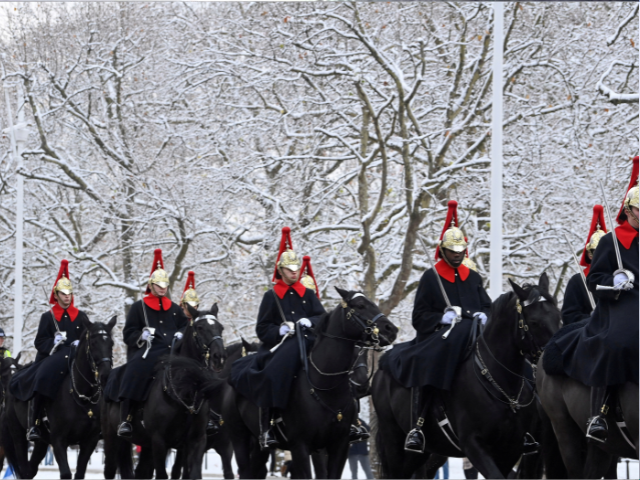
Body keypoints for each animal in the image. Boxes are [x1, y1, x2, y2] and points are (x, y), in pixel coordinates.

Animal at [4, 316, 116, 478]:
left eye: (111, 343)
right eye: (93, 343)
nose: (105, 375)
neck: (82, 396)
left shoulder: (90, 440)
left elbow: (79, 473)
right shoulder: (58, 440)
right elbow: (66, 473)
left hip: (42, 441)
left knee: (31, 470)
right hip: (18, 435)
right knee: (24, 469)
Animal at [102, 306, 228, 478]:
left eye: (221, 327)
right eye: (200, 328)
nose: (219, 357)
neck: (185, 392)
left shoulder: (196, 441)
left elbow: (192, 474)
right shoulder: (159, 441)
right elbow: (163, 474)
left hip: (145, 444)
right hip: (112, 438)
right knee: (110, 469)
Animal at [222, 286, 398, 478]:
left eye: (363, 354)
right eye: (360, 305)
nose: (391, 329)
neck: (327, 386)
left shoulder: (339, 445)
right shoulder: (300, 446)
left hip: (259, 447)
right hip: (240, 439)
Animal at [370, 274, 560, 480]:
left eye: (558, 316)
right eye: (533, 322)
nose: (549, 360)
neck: (501, 386)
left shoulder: (510, 449)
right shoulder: (473, 444)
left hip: (426, 451)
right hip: (394, 441)